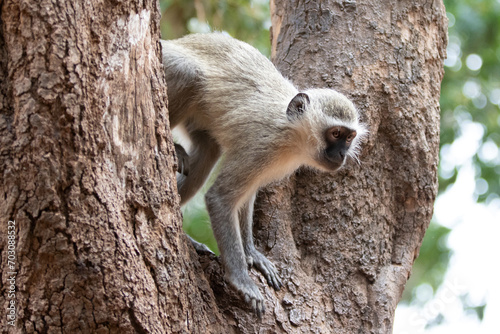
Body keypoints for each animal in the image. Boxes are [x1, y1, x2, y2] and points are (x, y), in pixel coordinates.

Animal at [160, 33, 368, 316]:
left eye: (349, 137)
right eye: (335, 133)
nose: (341, 155)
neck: (290, 131)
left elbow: (245, 197)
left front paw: (251, 253)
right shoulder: (261, 146)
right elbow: (220, 198)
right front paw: (240, 278)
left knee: (208, 150)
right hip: (166, 63)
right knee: (187, 72)